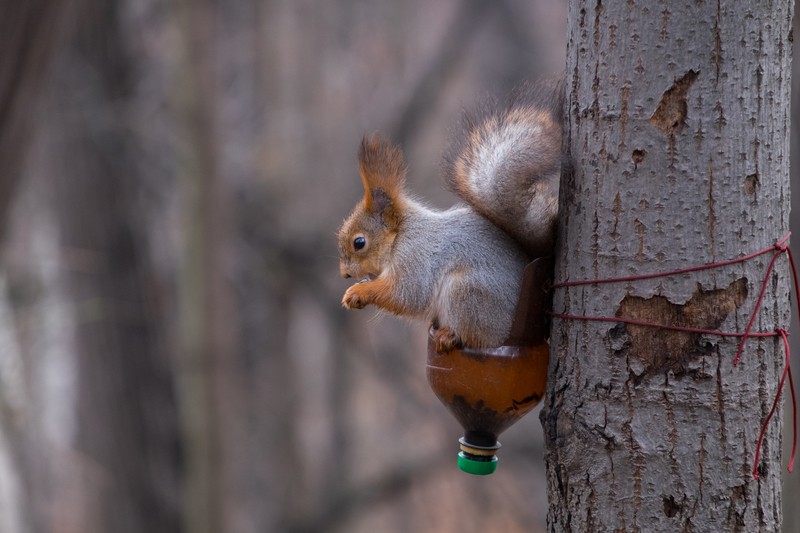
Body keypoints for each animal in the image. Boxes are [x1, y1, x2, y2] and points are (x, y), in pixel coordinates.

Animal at [336, 77, 564, 352]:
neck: (401, 235)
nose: (345, 274)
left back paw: (450, 335)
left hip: (467, 294)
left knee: (479, 336)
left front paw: (359, 292)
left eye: (359, 242)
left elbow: (406, 294)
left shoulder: (417, 258)